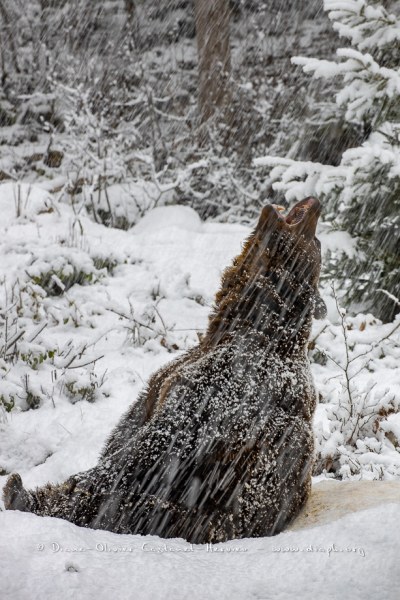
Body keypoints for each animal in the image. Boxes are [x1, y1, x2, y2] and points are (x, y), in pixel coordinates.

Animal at [4, 198, 326, 544]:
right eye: (318, 241)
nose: (316, 202)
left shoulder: (233, 393)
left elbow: (159, 445)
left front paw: (33, 495)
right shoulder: (167, 380)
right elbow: (128, 427)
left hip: (204, 513)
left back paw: (24, 494)